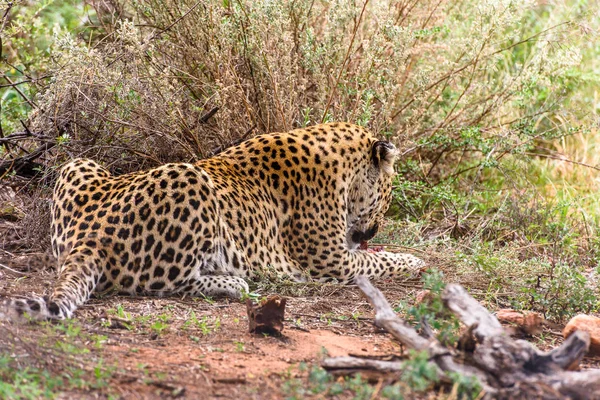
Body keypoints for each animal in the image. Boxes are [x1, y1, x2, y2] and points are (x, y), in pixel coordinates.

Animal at [1, 122, 422, 318]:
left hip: (78, 164)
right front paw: (417, 261)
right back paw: (235, 282)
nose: (375, 229)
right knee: (169, 282)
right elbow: (381, 261)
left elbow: (378, 257)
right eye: (389, 191)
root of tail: (90, 234)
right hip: (192, 182)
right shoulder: (330, 262)